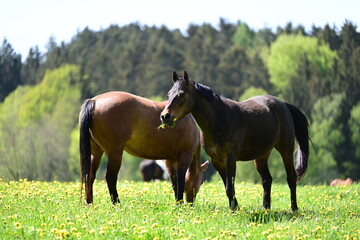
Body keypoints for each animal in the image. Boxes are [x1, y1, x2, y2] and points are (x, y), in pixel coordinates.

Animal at [160, 71, 310, 210]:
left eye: (182, 94)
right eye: (169, 94)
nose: (165, 116)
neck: (218, 120)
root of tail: (283, 104)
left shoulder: (230, 159)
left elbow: (229, 187)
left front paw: (234, 209)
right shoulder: (217, 161)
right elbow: (228, 187)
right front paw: (235, 207)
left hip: (286, 150)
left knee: (291, 178)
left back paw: (294, 208)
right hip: (261, 156)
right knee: (267, 179)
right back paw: (265, 208)